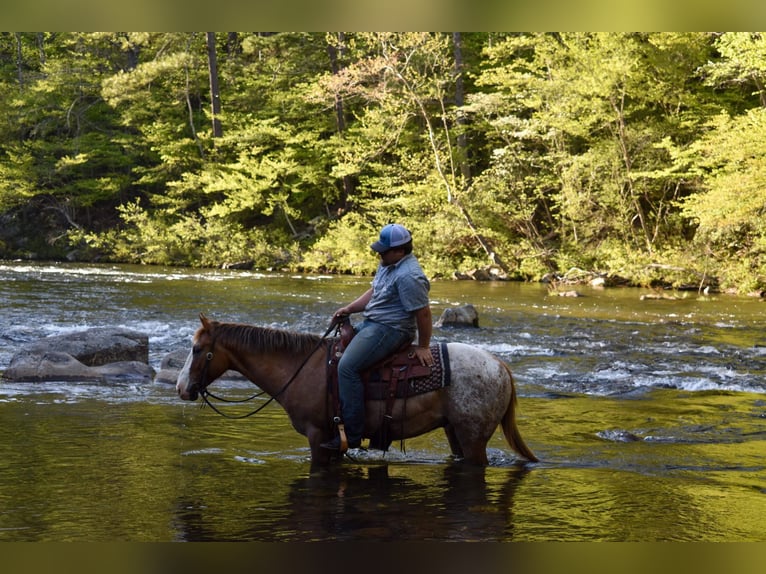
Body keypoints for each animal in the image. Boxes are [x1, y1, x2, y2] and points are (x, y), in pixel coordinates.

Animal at [178, 316, 540, 472]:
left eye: (196, 350)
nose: (182, 388)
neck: (301, 368)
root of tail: (500, 365)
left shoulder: (317, 436)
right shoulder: (334, 442)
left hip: (473, 436)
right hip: (455, 433)